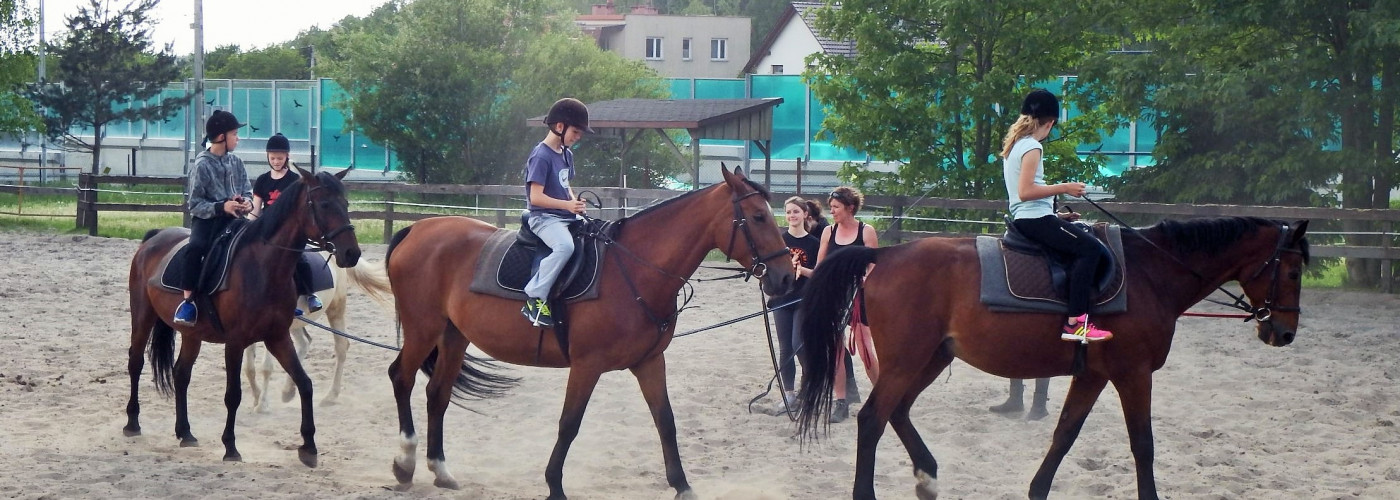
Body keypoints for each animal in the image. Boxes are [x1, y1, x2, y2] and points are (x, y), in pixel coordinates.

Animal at [123, 167, 361, 467]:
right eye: (325, 204)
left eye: (346, 204)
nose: (352, 253)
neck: (262, 266)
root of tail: (153, 239)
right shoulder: (235, 342)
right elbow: (233, 395)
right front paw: (230, 447)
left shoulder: (277, 337)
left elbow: (305, 384)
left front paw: (309, 447)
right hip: (142, 315)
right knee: (136, 362)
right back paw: (132, 423)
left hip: (192, 333)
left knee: (181, 373)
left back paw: (185, 432)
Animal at [383, 166, 795, 498]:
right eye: (759, 216)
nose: (785, 278)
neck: (633, 268)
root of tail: (417, 228)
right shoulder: (586, 365)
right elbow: (569, 424)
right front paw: (554, 485)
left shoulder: (650, 362)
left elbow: (666, 421)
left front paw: (682, 485)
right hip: (423, 330)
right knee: (401, 377)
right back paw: (404, 464)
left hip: (453, 336)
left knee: (437, 394)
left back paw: (441, 470)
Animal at [800, 215, 1310, 495]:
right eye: (1292, 269)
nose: (1284, 332)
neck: (1150, 273)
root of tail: (885, 255)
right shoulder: (1133, 373)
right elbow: (1142, 445)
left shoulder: (1093, 375)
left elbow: (1064, 435)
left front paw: (1037, 490)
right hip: (907, 361)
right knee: (873, 419)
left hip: (930, 359)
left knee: (899, 412)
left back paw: (929, 477)